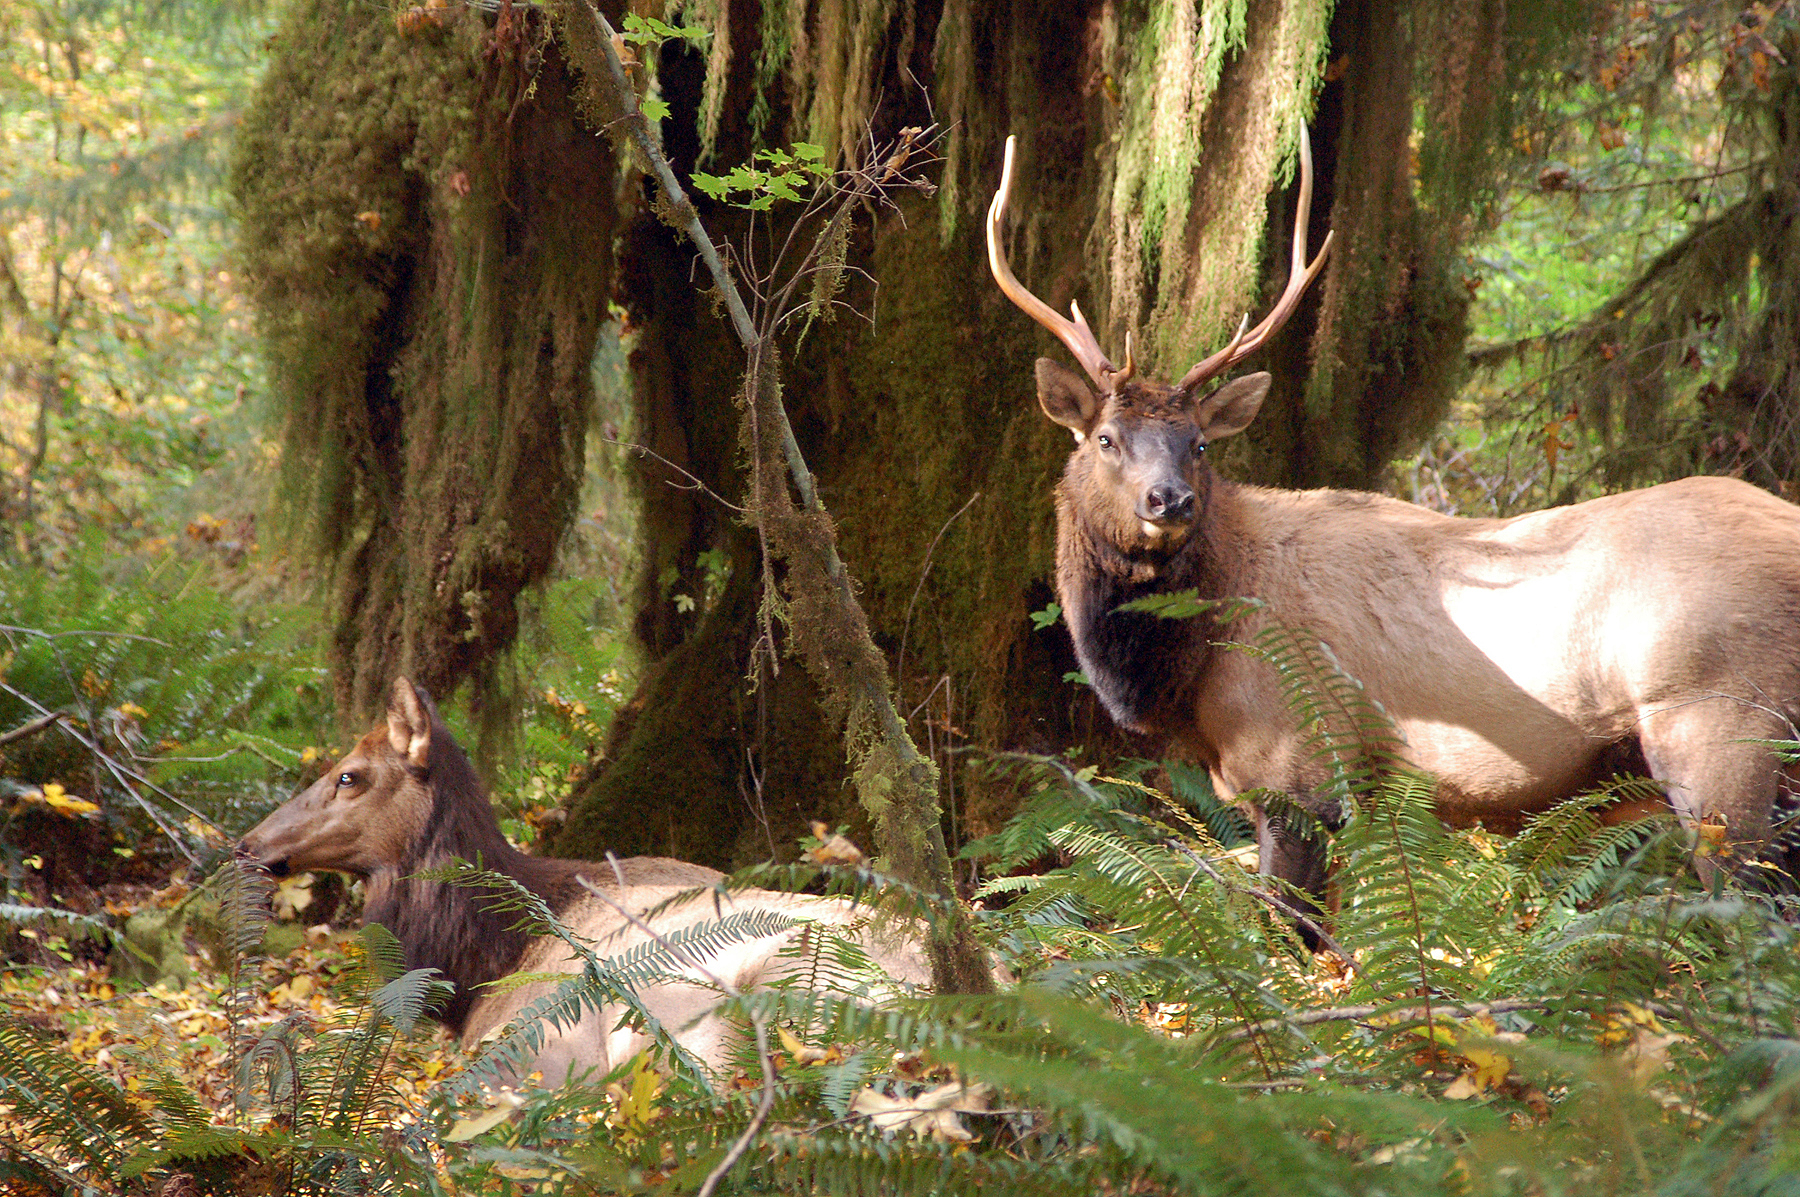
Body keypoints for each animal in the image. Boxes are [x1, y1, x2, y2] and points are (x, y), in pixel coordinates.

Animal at [988, 125, 1800, 905]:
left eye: (1198, 444)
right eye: (1106, 438)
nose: (1170, 500)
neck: (1191, 670)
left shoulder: (1302, 769)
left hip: (1726, 736)